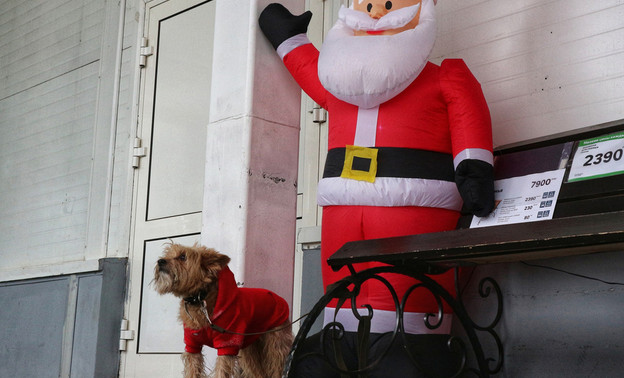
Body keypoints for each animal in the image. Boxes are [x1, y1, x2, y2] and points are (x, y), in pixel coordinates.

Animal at [155, 244, 294, 376]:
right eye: (167, 254)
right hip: (250, 352)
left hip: (275, 347)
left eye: (183, 257)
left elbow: (222, 371)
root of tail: (278, 298)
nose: (160, 261)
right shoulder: (192, 346)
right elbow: (193, 371)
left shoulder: (226, 345)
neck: (200, 298)